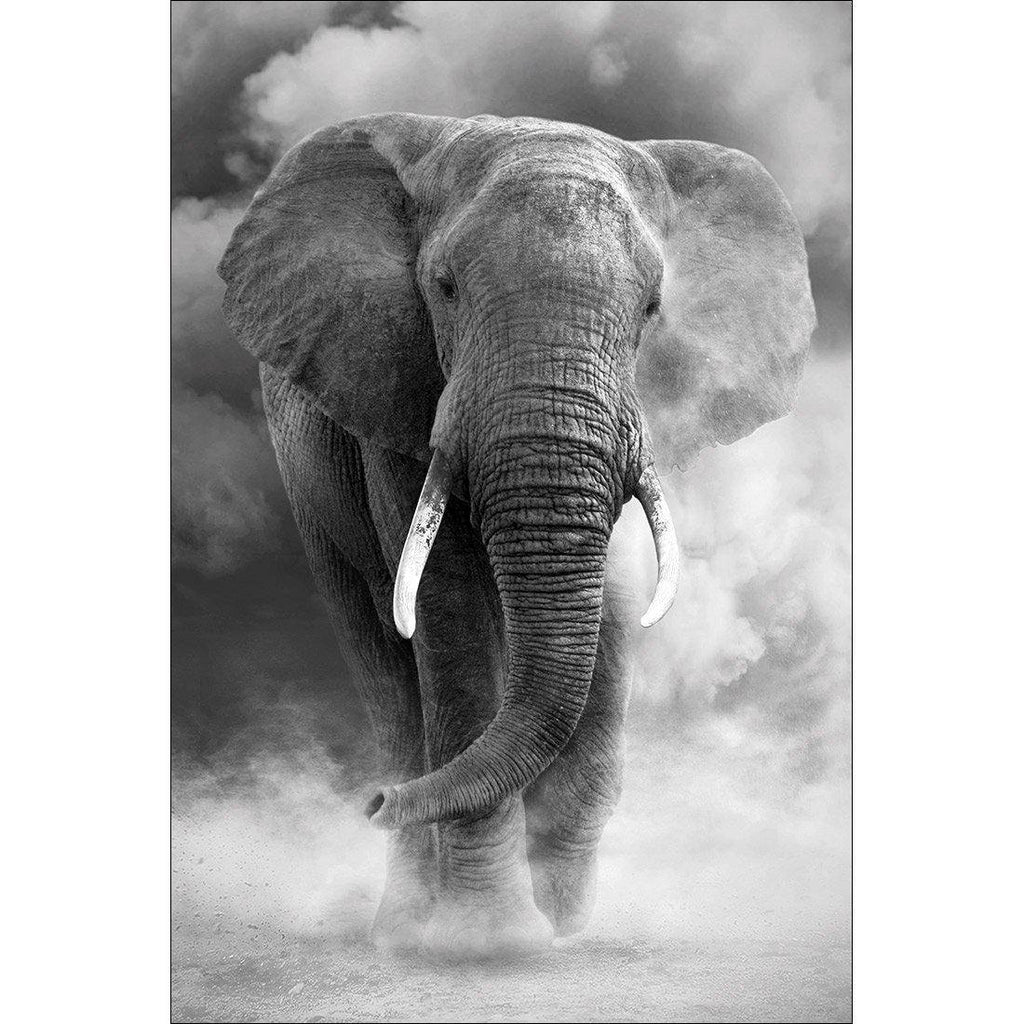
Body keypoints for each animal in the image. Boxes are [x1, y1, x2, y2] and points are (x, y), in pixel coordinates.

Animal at [218, 113, 814, 957]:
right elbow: (450, 610)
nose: (375, 802)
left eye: (652, 307)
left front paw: (559, 929)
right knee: (384, 663)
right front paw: (488, 942)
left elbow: (613, 611)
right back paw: (403, 922)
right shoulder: (397, 390)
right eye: (444, 288)